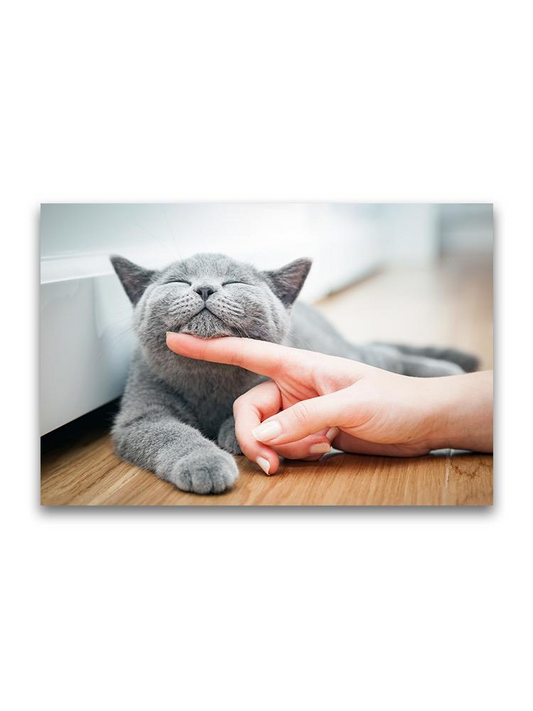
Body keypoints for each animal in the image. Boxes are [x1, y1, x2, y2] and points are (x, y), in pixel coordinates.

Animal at [110, 254, 476, 496]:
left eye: (235, 282)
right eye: (178, 282)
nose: (204, 288)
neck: (209, 377)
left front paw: (235, 433)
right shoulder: (140, 414)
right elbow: (171, 433)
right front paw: (205, 461)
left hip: (340, 354)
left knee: (384, 356)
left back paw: (446, 371)